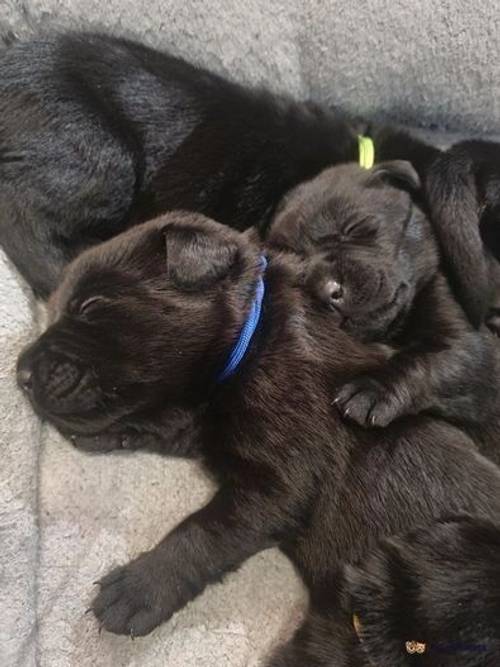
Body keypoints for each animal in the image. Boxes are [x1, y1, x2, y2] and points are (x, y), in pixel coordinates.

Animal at [15, 213, 500, 664]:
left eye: (92, 306)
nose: (20, 373)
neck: (252, 338)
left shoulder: (279, 478)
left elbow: (206, 528)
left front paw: (138, 589)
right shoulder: (211, 424)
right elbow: (174, 424)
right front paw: (111, 431)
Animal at [268, 160, 498, 436]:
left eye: (353, 228)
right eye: (298, 268)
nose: (328, 291)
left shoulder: (471, 349)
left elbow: (424, 359)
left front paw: (372, 389)